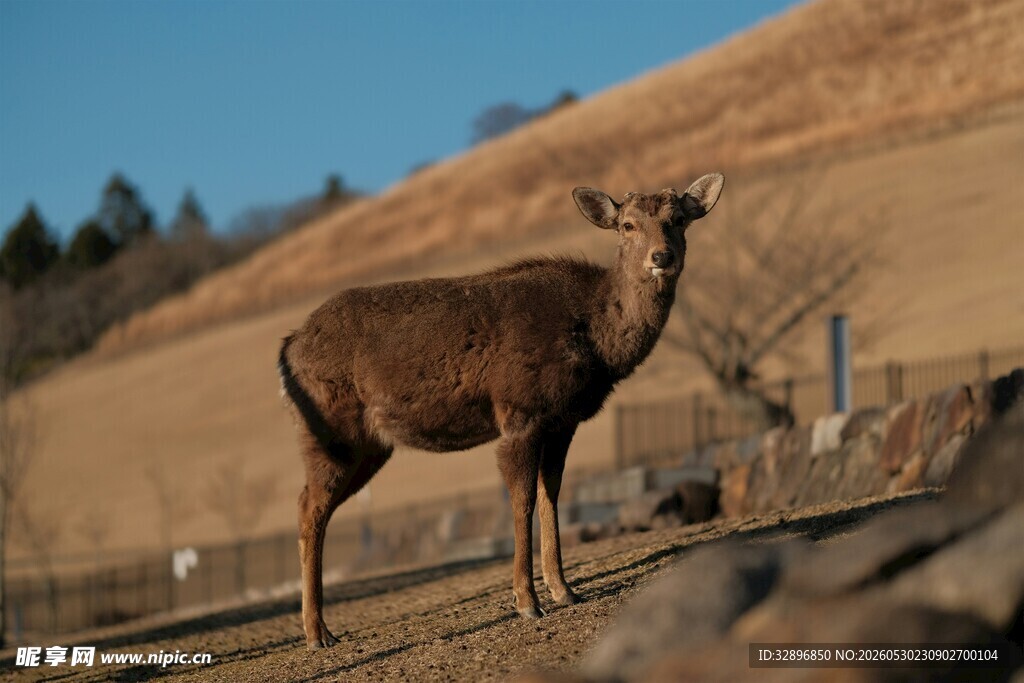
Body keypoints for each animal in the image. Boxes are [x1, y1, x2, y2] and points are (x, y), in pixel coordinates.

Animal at [278, 173, 724, 649]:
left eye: (677, 219)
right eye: (627, 224)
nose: (662, 256)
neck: (596, 342)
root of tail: (288, 349)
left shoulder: (562, 422)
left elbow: (551, 495)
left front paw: (565, 590)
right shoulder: (520, 411)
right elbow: (522, 500)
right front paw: (527, 602)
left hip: (370, 446)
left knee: (313, 505)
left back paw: (321, 627)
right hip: (330, 431)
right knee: (308, 508)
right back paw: (316, 632)